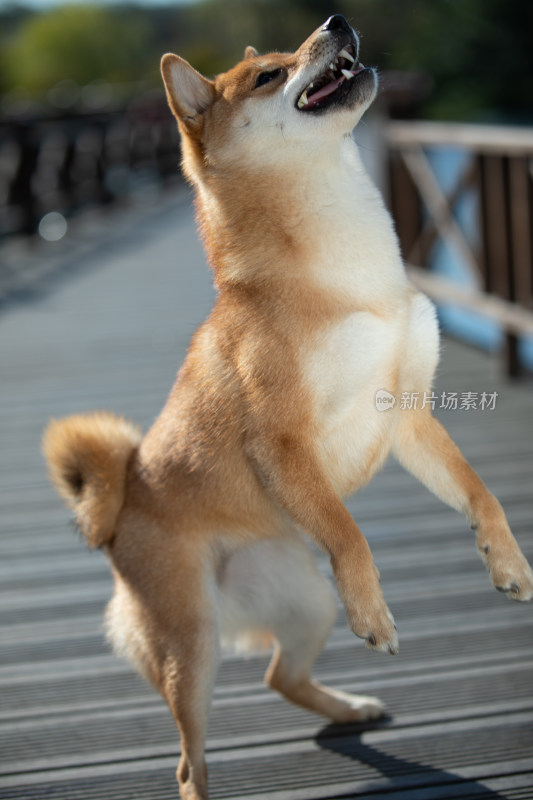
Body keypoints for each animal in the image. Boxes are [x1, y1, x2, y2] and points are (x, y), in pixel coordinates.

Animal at [42, 14, 532, 800]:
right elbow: (351, 534)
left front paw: (507, 561)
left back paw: (349, 708)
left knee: (280, 675)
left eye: (285, 56)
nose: (335, 21)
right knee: (189, 763)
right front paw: (375, 609)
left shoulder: (408, 416)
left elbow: (479, 492)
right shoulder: (283, 440)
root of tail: (116, 519)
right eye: (267, 76)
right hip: (193, 647)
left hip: (305, 601)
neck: (346, 274)